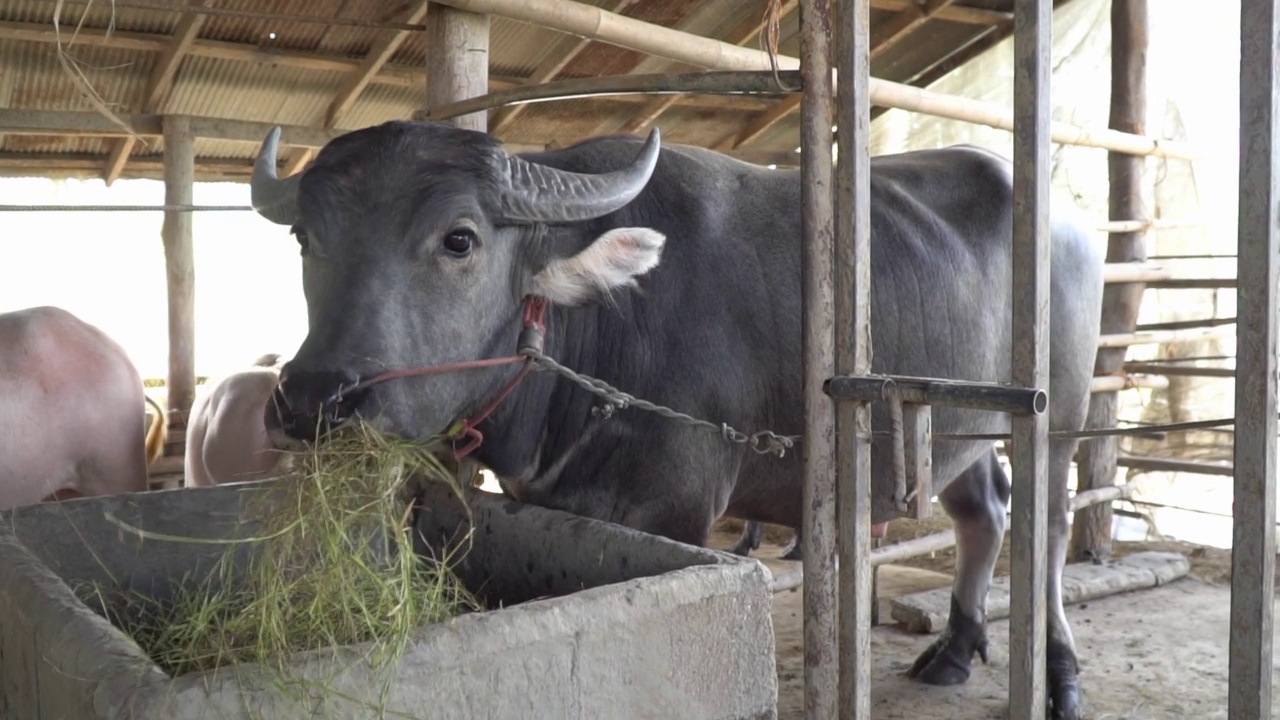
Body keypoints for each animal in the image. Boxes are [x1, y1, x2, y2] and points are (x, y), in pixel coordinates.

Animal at [247, 120, 1100, 712]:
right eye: (304, 237)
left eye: (459, 239)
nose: (316, 398)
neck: (604, 327)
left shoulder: (677, 509)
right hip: (956, 424)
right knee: (984, 511)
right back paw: (955, 648)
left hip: (1056, 412)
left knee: (1049, 525)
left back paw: (1058, 674)